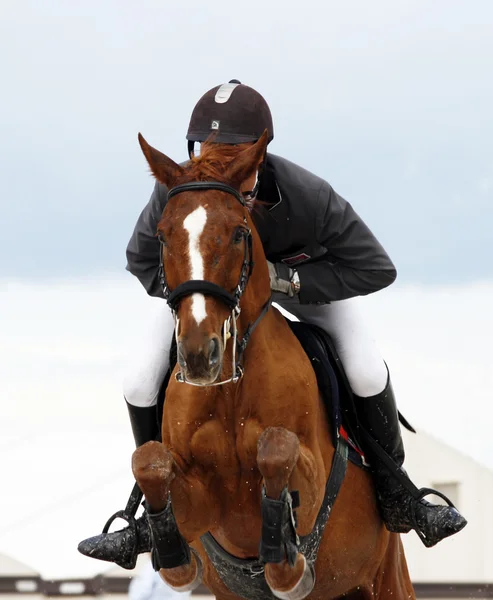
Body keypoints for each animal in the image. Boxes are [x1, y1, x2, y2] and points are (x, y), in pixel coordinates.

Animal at [131, 132, 416, 600]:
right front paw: (176, 559)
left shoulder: (315, 477)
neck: (230, 387)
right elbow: (150, 462)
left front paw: (286, 563)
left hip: (386, 578)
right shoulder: (201, 498)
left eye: (238, 234)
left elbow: (275, 449)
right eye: (162, 235)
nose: (200, 355)